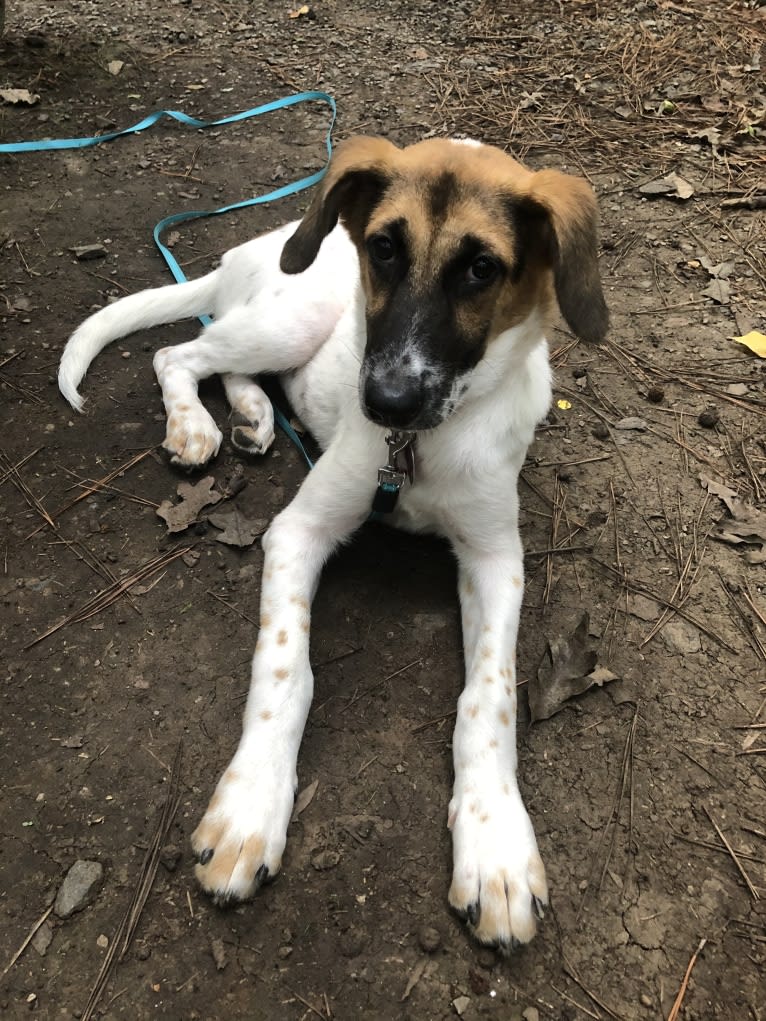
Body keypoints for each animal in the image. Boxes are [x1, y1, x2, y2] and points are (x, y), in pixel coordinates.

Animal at [58, 135, 612, 947]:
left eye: (482, 268)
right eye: (382, 248)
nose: (383, 402)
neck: (421, 447)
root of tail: (251, 246)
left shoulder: (496, 558)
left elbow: (490, 698)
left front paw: (497, 846)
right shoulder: (300, 530)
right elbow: (285, 670)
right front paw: (250, 807)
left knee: (237, 369)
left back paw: (254, 417)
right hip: (294, 313)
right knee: (183, 355)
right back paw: (197, 425)